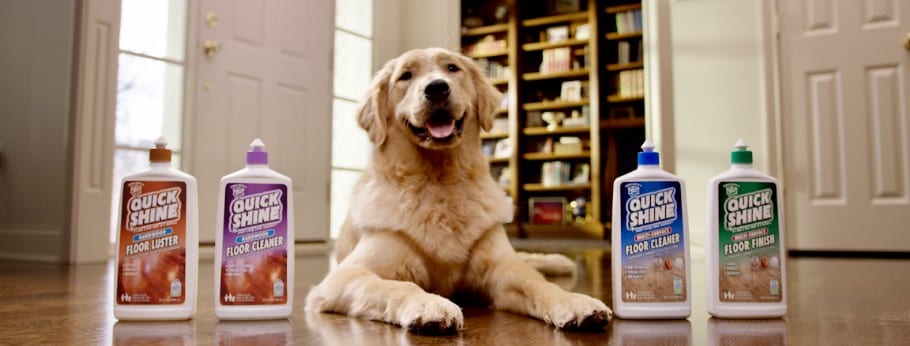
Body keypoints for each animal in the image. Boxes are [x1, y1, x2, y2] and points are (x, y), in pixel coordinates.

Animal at [306, 47, 612, 334]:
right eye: (406, 76)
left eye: (452, 68)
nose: (436, 88)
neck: (440, 182)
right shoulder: (346, 276)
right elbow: (398, 286)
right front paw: (428, 305)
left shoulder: (501, 269)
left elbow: (535, 283)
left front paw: (574, 302)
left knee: (527, 261)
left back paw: (558, 262)